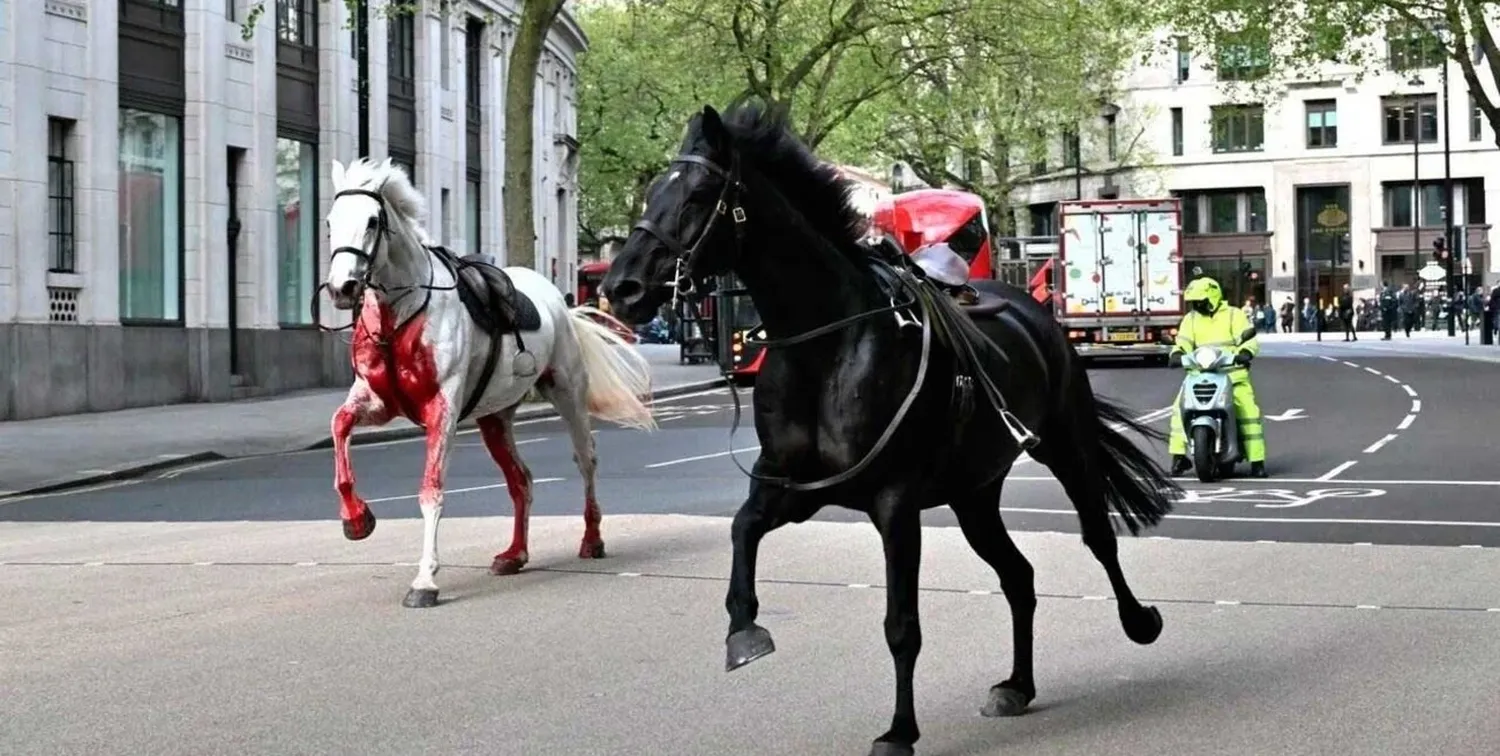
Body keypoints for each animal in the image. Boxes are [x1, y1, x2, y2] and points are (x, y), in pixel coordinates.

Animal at [322, 158, 657, 609]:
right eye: (329, 221)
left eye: (373, 221)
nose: (342, 288)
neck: (402, 314)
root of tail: (559, 301)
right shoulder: (377, 401)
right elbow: (339, 426)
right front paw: (357, 519)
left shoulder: (442, 409)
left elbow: (431, 491)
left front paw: (425, 581)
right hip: (495, 417)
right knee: (521, 480)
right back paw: (515, 554)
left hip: (567, 392)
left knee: (585, 459)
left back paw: (592, 540)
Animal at [600, 102, 1182, 756]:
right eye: (653, 191)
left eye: (698, 194)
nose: (620, 287)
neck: (826, 348)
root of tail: (1028, 305)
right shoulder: (794, 489)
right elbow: (742, 530)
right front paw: (744, 630)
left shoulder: (894, 503)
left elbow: (902, 624)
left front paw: (900, 730)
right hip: (974, 493)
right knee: (1019, 576)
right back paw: (1017, 685)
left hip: (1066, 443)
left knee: (1097, 537)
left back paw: (1139, 621)